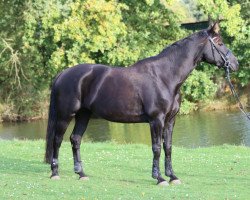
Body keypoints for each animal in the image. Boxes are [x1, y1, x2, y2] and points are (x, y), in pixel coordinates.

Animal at [44, 22, 238, 185]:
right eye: (219, 43)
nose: (236, 64)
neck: (164, 77)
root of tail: (64, 73)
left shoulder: (170, 120)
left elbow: (168, 147)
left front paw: (172, 176)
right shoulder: (156, 120)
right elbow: (156, 148)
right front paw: (159, 178)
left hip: (84, 115)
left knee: (75, 139)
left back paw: (81, 174)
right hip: (66, 115)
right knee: (57, 140)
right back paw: (55, 173)